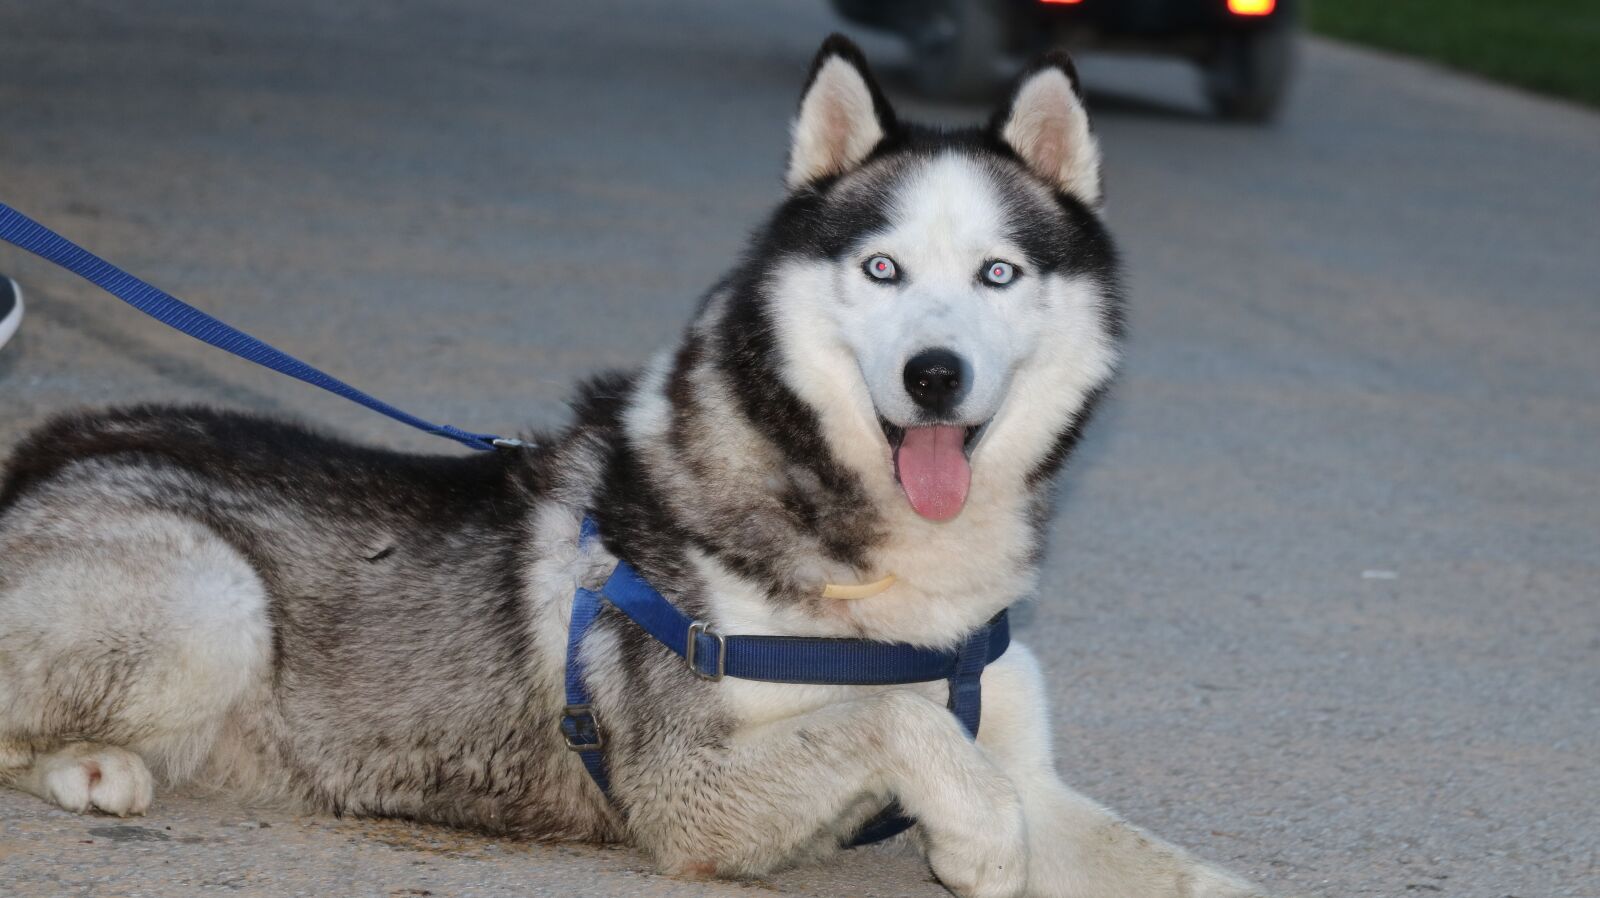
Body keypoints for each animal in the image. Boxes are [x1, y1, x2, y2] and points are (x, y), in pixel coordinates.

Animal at [0, 35, 1267, 898]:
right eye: (884, 269)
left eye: (999, 273)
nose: (935, 376)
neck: (891, 580)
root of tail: (44, 449)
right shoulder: (689, 796)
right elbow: (893, 721)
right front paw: (977, 836)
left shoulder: (1031, 766)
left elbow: (1137, 843)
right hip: (215, 595)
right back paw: (92, 770)